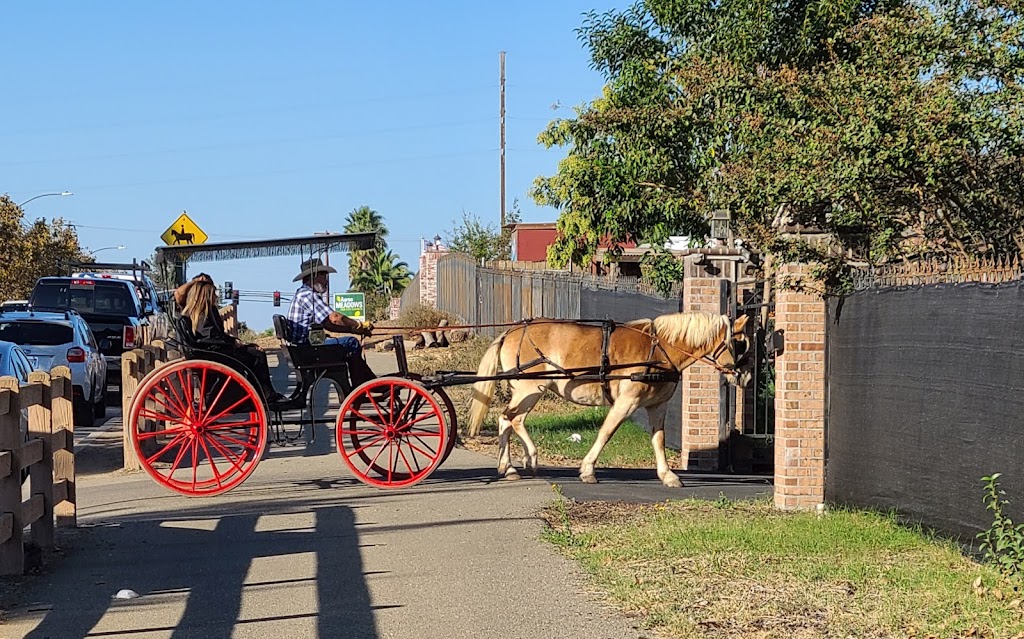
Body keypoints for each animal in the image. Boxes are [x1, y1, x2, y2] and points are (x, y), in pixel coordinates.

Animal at [466, 311, 753, 487]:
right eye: (741, 344)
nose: (746, 377)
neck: (659, 349)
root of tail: (511, 332)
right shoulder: (626, 403)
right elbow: (606, 432)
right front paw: (587, 470)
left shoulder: (657, 406)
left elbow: (658, 440)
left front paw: (668, 475)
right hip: (530, 388)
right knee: (510, 419)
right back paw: (530, 459)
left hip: (528, 391)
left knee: (508, 420)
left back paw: (509, 467)